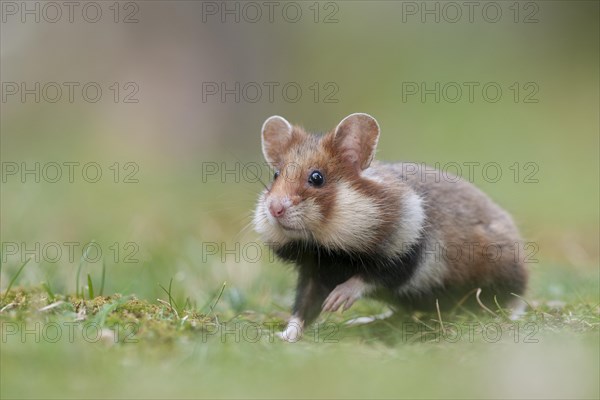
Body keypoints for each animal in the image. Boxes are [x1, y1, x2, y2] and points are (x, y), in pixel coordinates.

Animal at [254, 112, 528, 340]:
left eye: (317, 177)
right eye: (276, 175)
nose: (274, 209)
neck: (324, 245)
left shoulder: (408, 251)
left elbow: (371, 277)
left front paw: (336, 301)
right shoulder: (312, 273)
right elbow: (302, 309)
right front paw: (284, 336)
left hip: (502, 272)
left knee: (515, 299)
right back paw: (364, 320)